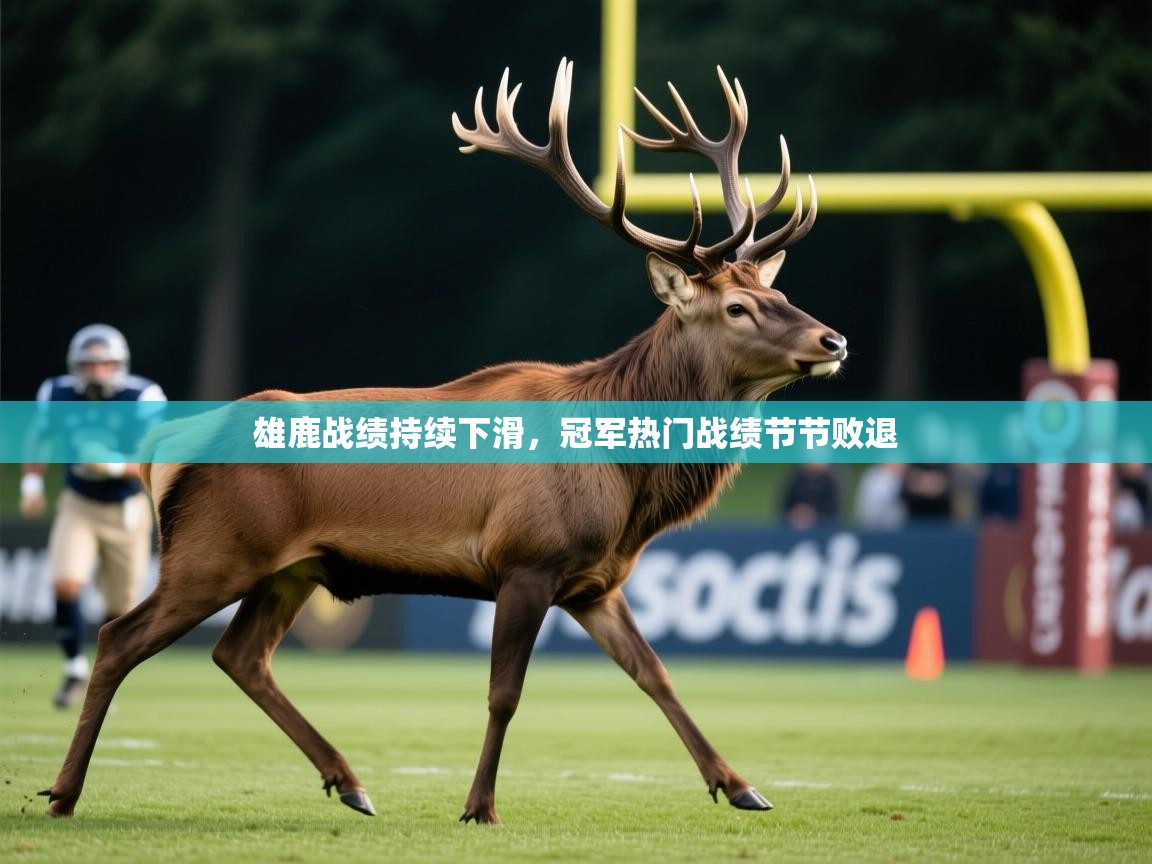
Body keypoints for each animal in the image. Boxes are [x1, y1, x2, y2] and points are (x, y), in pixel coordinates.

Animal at [41, 58, 846, 825]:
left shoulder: (596, 581)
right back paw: (64, 793)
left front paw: (742, 787)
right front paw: (480, 806)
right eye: (738, 307)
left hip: (290, 568)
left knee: (240, 655)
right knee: (120, 638)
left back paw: (351, 783)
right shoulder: (525, 559)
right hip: (215, 548)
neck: (626, 483)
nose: (833, 339)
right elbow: (504, 694)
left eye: (779, 292)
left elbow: (656, 674)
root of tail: (166, 446)